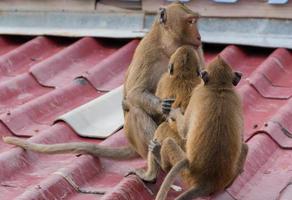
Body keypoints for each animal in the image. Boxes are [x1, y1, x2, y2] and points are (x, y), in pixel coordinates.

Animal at [2, 1, 203, 161]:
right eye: (190, 21)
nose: (199, 36)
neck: (169, 46)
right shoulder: (148, 51)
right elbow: (134, 94)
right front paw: (163, 105)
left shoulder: (196, 51)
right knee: (135, 110)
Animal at [148, 55, 249, 200]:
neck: (219, 88)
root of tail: (208, 182)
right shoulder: (236, 97)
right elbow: (241, 137)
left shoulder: (197, 93)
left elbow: (184, 132)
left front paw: (174, 112)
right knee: (245, 147)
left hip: (187, 174)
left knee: (168, 142)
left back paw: (159, 157)